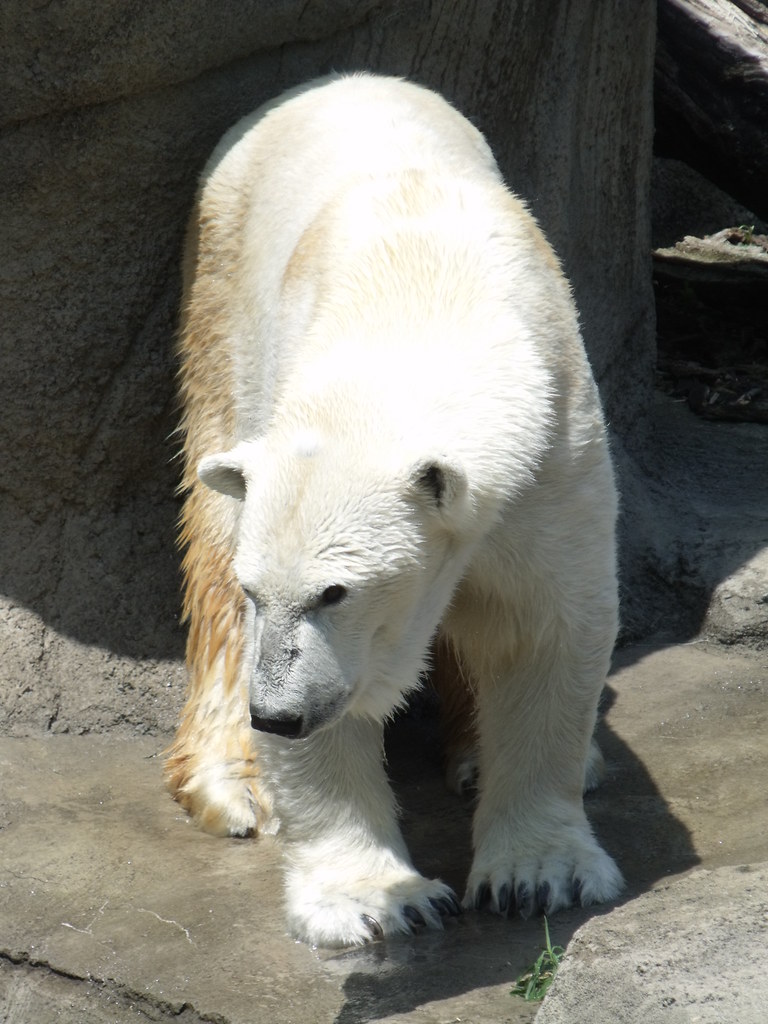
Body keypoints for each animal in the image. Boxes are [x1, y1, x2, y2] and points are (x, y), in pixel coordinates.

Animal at [165, 72, 623, 947]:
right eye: (259, 591)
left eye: (336, 591)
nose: (275, 715)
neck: (423, 294)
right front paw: (377, 900)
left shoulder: (554, 452)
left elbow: (542, 626)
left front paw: (536, 874)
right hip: (219, 294)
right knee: (209, 519)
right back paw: (230, 781)